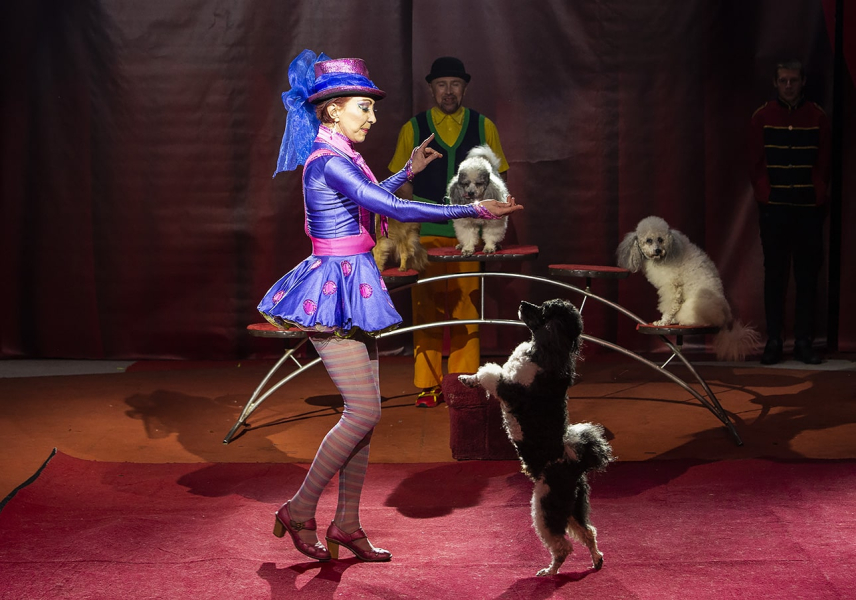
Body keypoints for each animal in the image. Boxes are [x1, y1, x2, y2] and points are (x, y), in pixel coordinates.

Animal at [459, 299, 613, 576]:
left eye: (543, 310)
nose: (522, 303)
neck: (545, 350)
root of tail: (575, 464)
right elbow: (484, 374)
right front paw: (468, 380)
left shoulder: (509, 389)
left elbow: (490, 373)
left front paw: (474, 379)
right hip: (570, 507)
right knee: (588, 532)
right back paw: (596, 560)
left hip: (545, 506)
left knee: (563, 546)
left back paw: (551, 572)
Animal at [616, 215, 760, 361]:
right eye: (648, 240)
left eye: (660, 239)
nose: (658, 250)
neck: (670, 250)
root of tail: (724, 320)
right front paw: (667, 320)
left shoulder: (671, 287)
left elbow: (669, 306)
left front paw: (663, 321)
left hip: (693, 307)